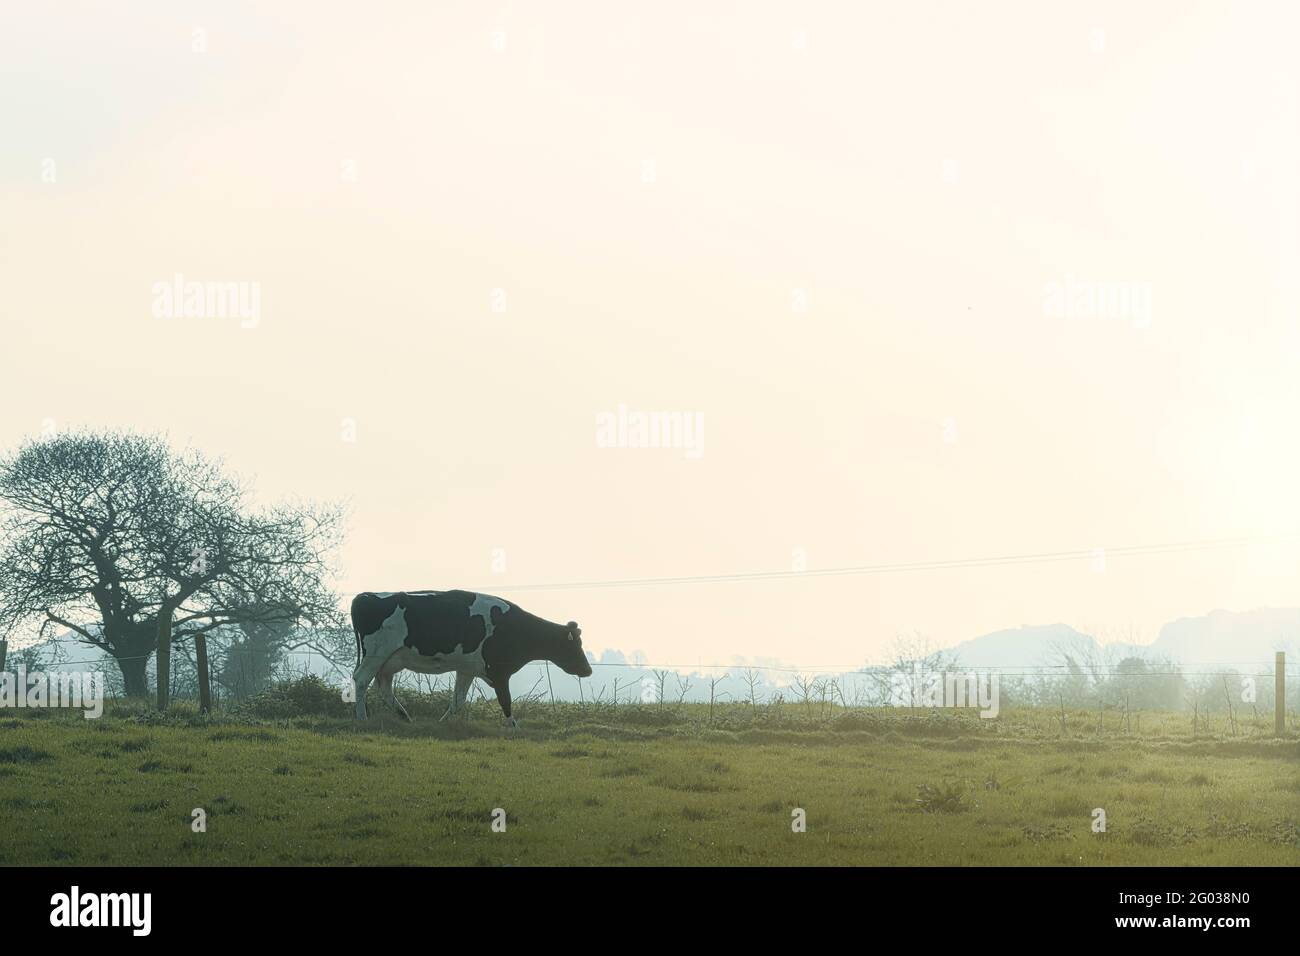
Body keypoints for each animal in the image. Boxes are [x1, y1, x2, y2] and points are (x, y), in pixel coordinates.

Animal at [345, 590, 590, 723]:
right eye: (575, 645)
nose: (588, 670)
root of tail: (365, 596)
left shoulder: (467, 669)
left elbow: (457, 701)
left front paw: (442, 722)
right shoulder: (499, 671)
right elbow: (506, 701)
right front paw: (514, 728)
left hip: (390, 661)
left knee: (384, 687)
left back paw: (404, 715)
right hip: (375, 654)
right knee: (361, 680)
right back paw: (362, 717)